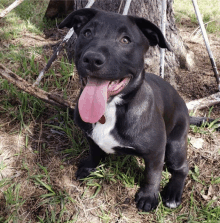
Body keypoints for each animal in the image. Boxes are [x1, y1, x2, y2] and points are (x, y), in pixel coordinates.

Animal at [59, 8, 190, 211]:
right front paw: (89, 167)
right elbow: (95, 152)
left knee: (182, 168)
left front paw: (148, 196)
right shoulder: (91, 138)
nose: (92, 58)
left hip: (175, 144)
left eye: (125, 40)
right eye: (87, 33)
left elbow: (152, 175)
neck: (111, 108)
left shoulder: (156, 152)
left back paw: (173, 194)